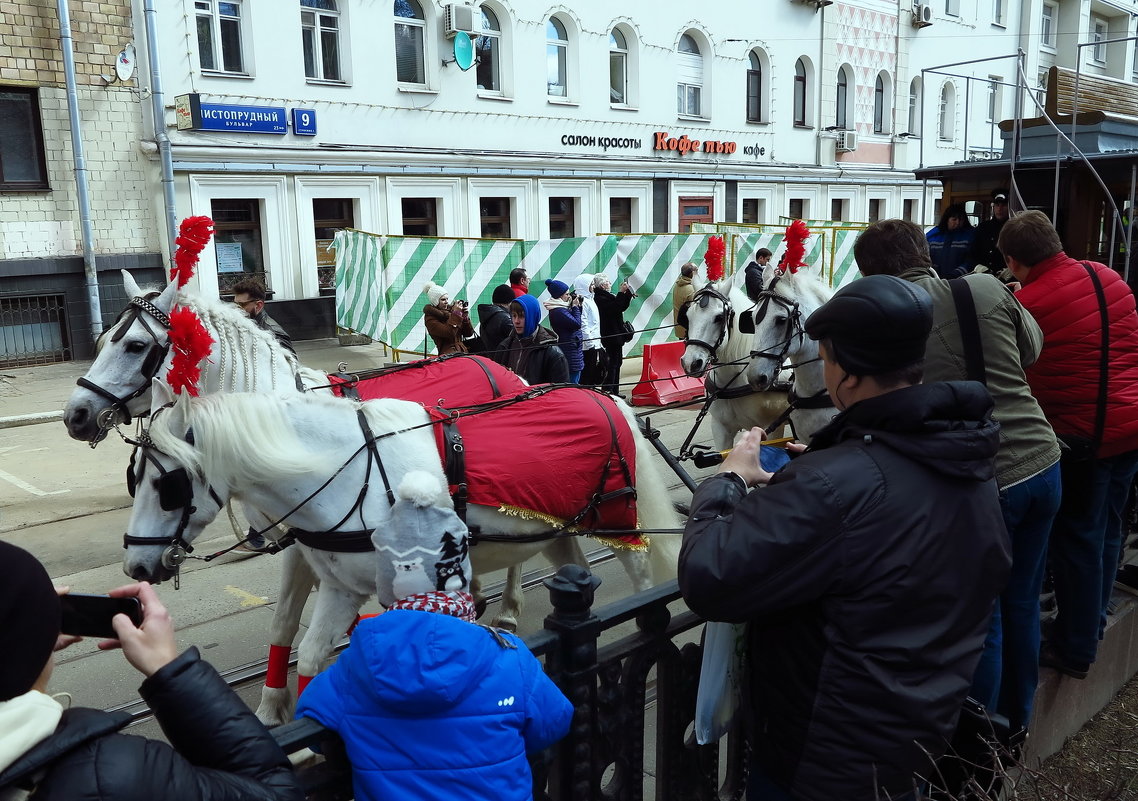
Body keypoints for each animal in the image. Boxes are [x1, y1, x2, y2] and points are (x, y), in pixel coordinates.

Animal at [124, 377, 673, 723]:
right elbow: (310, 655)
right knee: (575, 571)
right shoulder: (341, 587)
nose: (135, 563)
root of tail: (606, 397)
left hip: (618, 520)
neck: (346, 471)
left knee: (642, 578)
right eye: (134, 478)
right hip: (555, 531)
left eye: (167, 485)